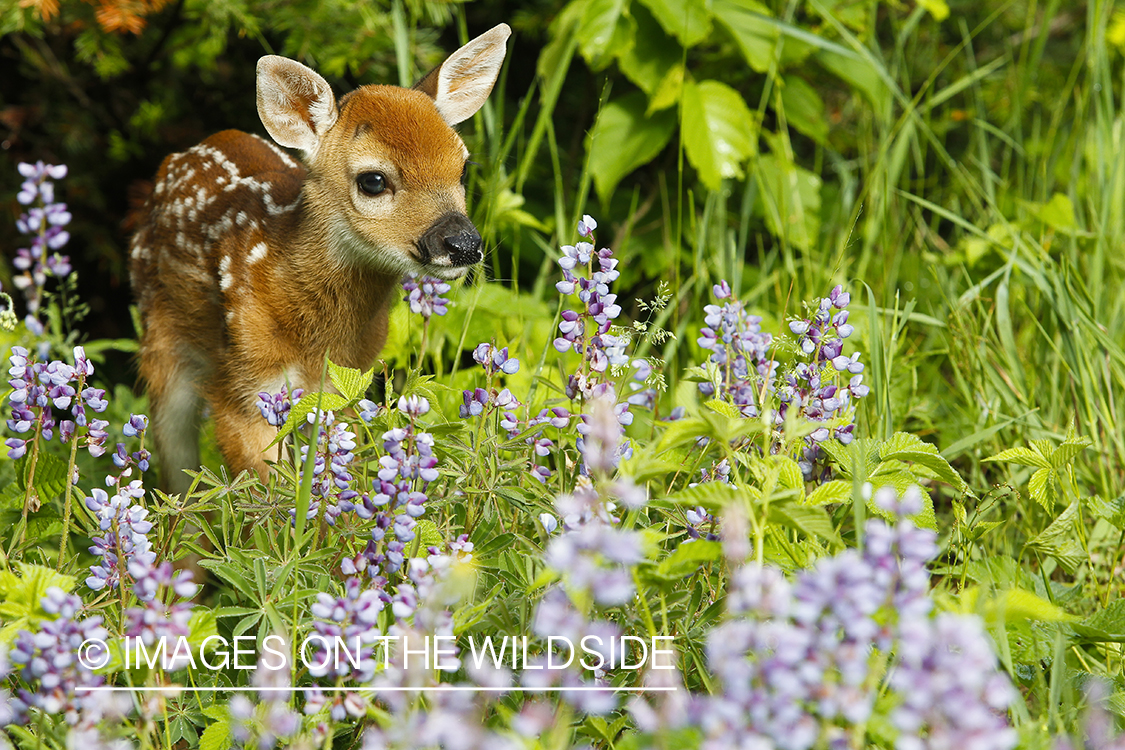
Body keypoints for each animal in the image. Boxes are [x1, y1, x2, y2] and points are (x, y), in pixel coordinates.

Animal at [129, 24, 511, 497]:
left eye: (462, 168)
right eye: (373, 180)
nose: (463, 243)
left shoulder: (345, 385)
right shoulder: (242, 388)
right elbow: (266, 496)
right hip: (162, 344)